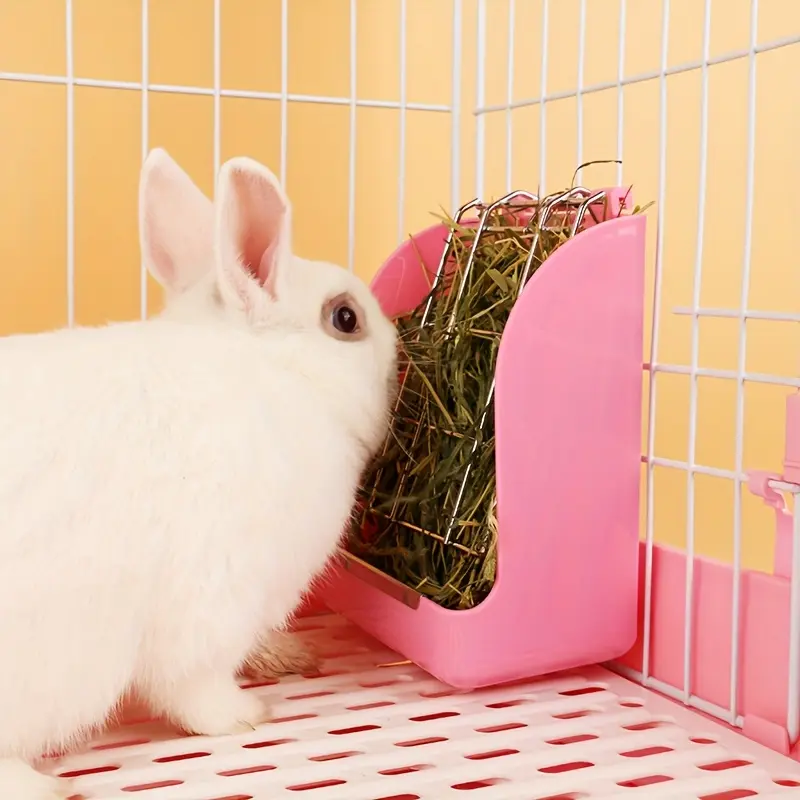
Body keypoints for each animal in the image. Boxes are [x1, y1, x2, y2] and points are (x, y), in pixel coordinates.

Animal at [0, 149, 399, 799]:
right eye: (346, 318)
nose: (398, 352)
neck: (282, 376)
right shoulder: (216, 599)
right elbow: (193, 685)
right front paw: (246, 715)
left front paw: (286, 657)